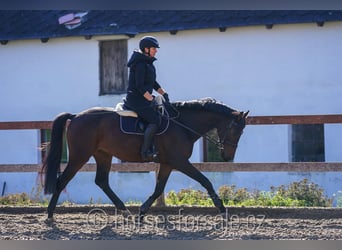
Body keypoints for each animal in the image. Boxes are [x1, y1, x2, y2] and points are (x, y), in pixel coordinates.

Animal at [42, 97, 248, 219]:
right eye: (235, 130)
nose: (227, 157)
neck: (182, 125)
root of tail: (76, 116)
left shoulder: (167, 163)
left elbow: (158, 189)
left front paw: (142, 212)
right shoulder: (180, 161)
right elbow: (205, 181)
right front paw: (222, 208)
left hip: (103, 154)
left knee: (101, 181)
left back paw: (125, 210)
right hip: (80, 155)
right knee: (62, 180)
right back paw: (50, 214)